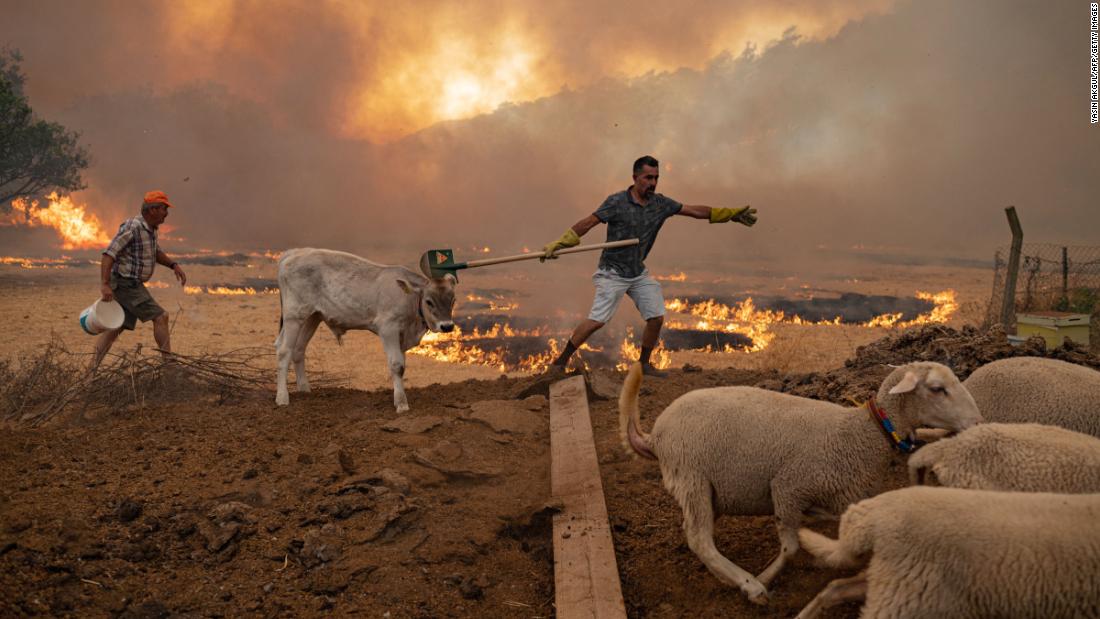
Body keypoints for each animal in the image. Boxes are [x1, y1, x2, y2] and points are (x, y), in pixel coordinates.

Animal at [275, 247, 455, 411]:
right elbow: (396, 365)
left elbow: (402, 366)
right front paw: (401, 404)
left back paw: (304, 389)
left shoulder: (402, 336)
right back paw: (282, 397)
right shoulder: (388, 329)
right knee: (284, 351)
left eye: (452, 300)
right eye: (429, 301)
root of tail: (294, 252)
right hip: (294, 316)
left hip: (312, 317)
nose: (447, 326)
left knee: (298, 349)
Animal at [616, 358, 985, 606]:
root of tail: (655, 436)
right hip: (691, 475)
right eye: (937, 389)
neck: (863, 434)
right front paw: (764, 577)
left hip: (705, 489)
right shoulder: (788, 487)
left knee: (695, 531)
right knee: (699, 538)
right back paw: (748, 585)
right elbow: (790, 548)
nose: (978, 422)